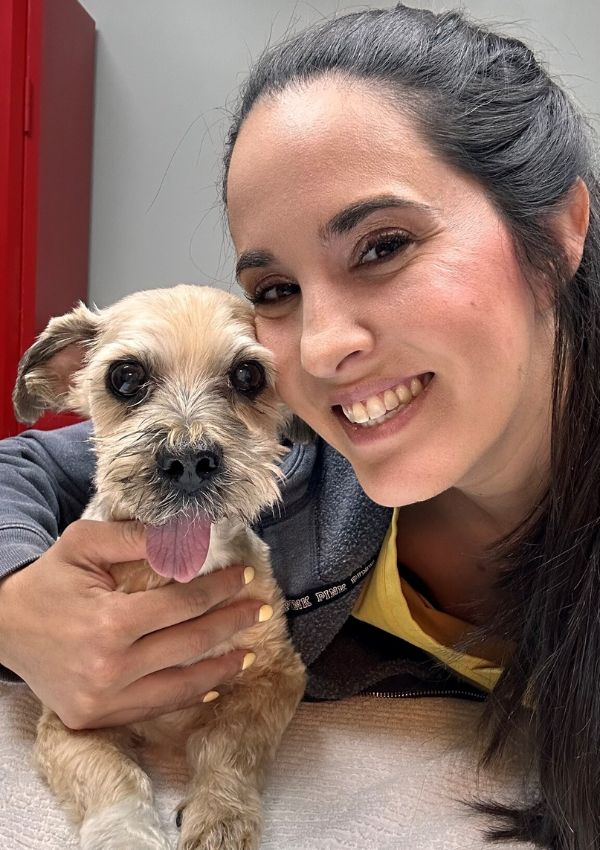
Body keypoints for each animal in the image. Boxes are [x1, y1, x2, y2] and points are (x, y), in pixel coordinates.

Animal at [12, 286, 308, 848]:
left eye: (248, 375)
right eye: (125, 377)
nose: (188, 460)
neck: (175, 574)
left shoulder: (273, 674)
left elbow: (229, 747)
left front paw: (220, 814)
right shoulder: (73, 714)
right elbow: (114, 776)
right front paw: (126, 834)